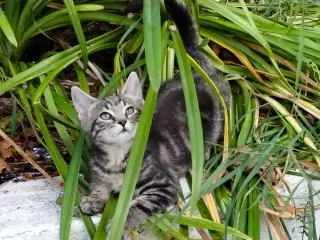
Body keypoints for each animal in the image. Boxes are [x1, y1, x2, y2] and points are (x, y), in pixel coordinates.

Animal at [72, 0, 230, 236]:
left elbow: (138, 206)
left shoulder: (163, 186)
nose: (122, 122)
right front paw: (93, 198)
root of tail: (196, 67)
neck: (117, 159)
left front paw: (120, 225)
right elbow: (99, 184)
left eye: (129, 110)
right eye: (105, 116)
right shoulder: (100, 172)